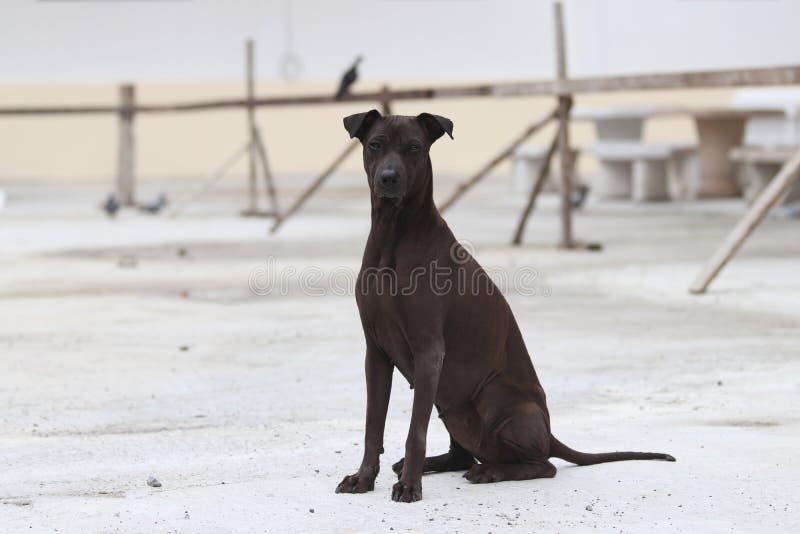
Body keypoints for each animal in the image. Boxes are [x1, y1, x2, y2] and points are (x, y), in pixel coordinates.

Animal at [334, 111, 672, 504]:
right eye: (375, 145)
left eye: (414, 148)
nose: (389, 178)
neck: (393, 235)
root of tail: (549, 431)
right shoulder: (376, 353)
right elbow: (373, 427)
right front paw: (363, 478)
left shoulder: (429, 351)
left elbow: (415, 431)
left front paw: (409, 486)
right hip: (449, 403)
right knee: (463, 453)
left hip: (495, 397)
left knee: (541, 464)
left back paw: (489, 471)